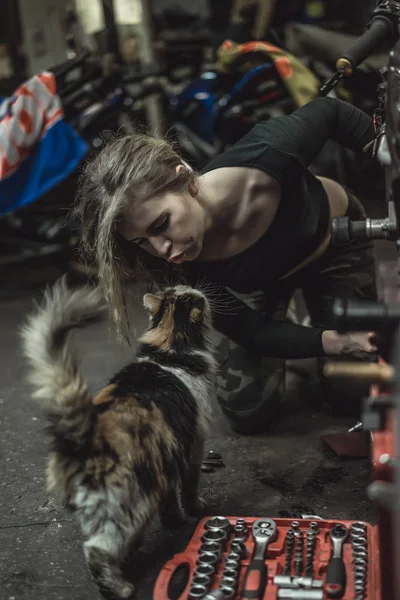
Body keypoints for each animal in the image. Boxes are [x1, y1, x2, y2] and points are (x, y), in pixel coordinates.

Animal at [20, 282, 217, 600]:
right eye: (191, 295)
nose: (191, 286)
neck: (169, 349)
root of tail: (85, 434)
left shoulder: (167, 459)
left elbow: (169, 500)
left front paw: (174, 520)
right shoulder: (194, 444)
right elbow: (189, 486)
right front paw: (196, 509)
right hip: (130, 506)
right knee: (96, 550)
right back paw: (119, 588)